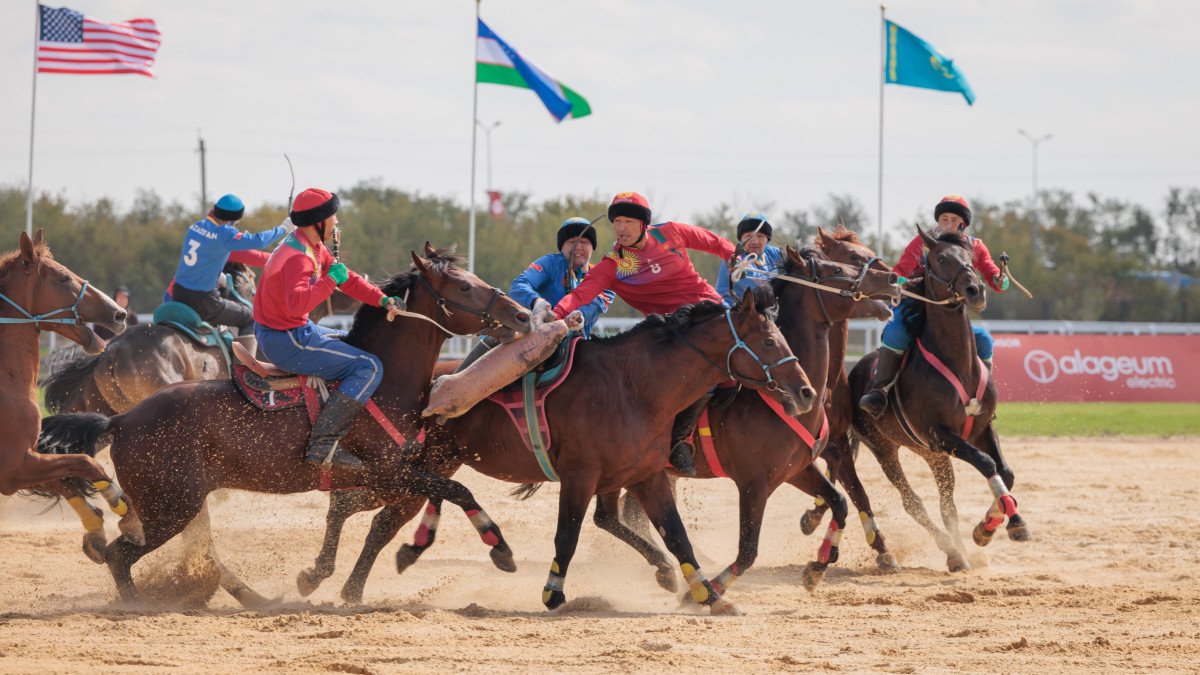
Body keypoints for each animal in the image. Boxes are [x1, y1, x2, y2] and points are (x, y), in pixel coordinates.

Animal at [0, 230, 141, 540]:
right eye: (63, 277)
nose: (119, 314)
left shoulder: (22, 465)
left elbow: (66, 479)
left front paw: (96, 523)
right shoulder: (13, 466)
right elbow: (86, 462)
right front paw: (123, 506)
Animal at [35, 246, 532, 598]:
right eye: (463, 286)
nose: (523, 314)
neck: (385, 380)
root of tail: (121, 421)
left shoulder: (386, 478)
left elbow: (359, 512)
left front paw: (316, 575)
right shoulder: (393, 472)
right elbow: (458, 489)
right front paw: (502, 550)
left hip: (168, 506)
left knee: (133, 548)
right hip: (170, 509)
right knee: (121, 556)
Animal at [835, 228, 1032, 569]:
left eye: (970, 258)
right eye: (940, 258)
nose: (975, 290)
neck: (958, 364)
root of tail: (856, 370)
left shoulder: (979, 429)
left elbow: (1004, 471)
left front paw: (1001, 524)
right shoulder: (940, 433)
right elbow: (986, 462)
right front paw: (989, 527)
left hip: (933, 455)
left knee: (946, 503)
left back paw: (960, 550)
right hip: (885, 448)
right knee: (912, 502)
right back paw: (952, 551)